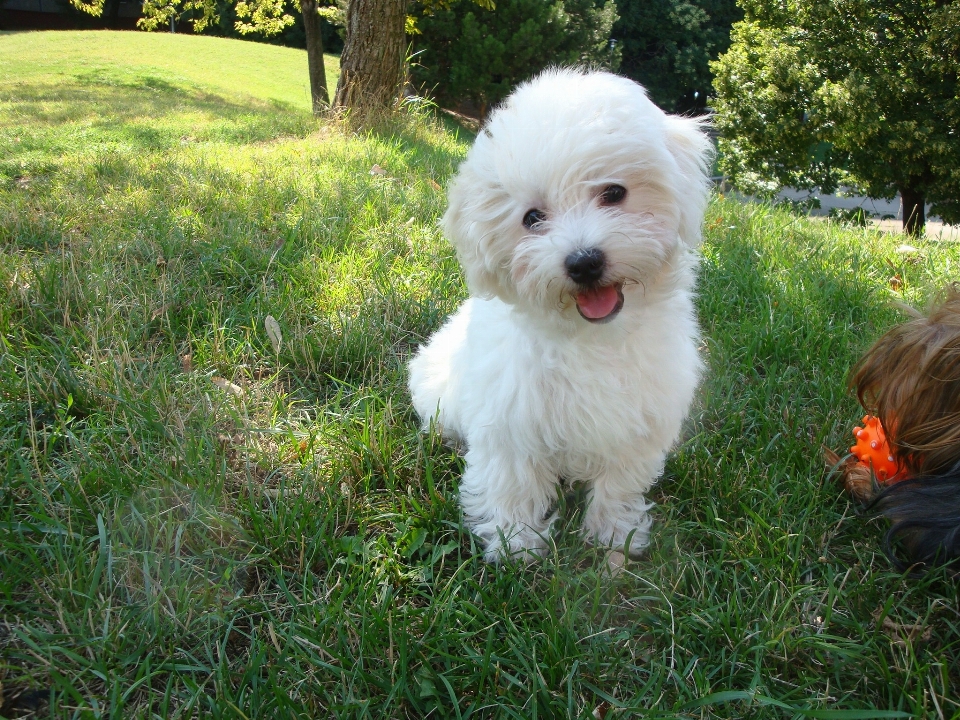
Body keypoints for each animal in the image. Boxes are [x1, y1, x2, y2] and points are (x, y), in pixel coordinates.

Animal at [404, 67, 712, 564]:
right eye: (532, 218)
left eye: (614, 192)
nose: (584, 261)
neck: (591, 337)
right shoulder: (510, 416)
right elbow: (512, 480)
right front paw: (515, 542)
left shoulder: (640, 418)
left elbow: (621, 480)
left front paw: (615, 533)